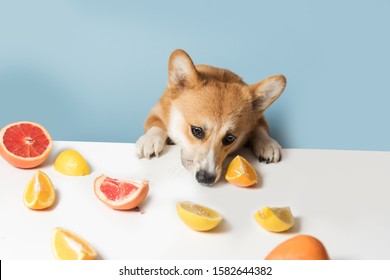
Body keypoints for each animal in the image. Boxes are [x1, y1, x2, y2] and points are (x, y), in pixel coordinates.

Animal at [136, 49, 284, 186]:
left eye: (230, 138)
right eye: (196, 130)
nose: (205, 179)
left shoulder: (258, 119)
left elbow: (260, 128)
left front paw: (267, 143)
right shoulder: (157, 111)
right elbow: (157, 124)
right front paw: (150, 140)